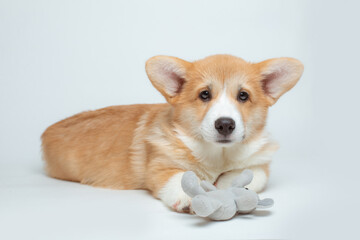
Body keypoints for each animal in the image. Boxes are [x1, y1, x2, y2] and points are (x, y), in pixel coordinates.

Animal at [40, 54, 302, 212]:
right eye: (204, 94)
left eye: (243, 96)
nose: (225, 125)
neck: (217, 154)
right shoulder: (159, 166)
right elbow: (180, 177)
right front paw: (190, 196)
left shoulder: (259, 163)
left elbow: (252, 174)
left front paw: (228, 186)